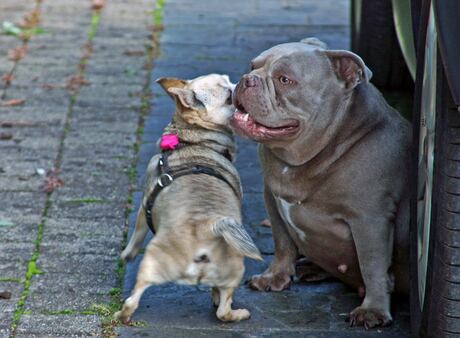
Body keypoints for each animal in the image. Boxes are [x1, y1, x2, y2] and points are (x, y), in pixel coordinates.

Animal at [115, 74, 262, 324]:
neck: (191, 139)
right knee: (223, 311)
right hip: (236, 267)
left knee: (132, 300)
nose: (239, 85)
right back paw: (239, 313)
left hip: (152, 264)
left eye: (229, 81)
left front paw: (126, 254)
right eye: (228, 97)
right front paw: (129, 252)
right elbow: (137, 234)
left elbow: (137, 233)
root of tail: (206, 229)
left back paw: (122, 315)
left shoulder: (145, 205)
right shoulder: (143, 209)